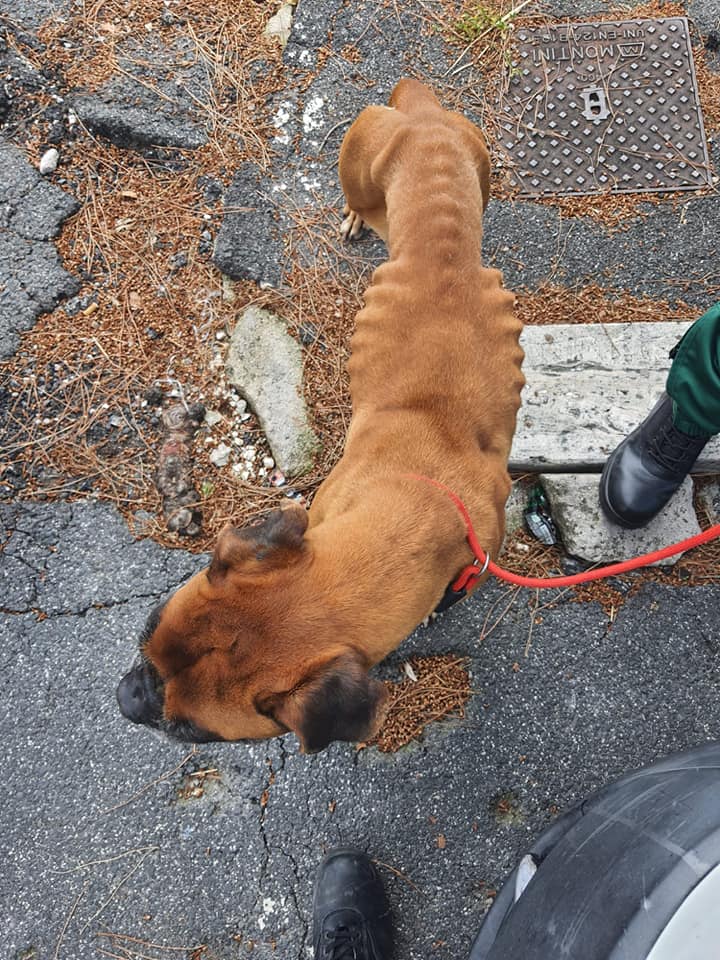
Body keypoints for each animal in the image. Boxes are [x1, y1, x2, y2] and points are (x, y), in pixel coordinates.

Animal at [116, 79, 524, 752]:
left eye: (193, 733)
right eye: (150, 620)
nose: (127, 699)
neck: (421, 506)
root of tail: (423, 121)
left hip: (475, 164)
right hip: (364, 163)